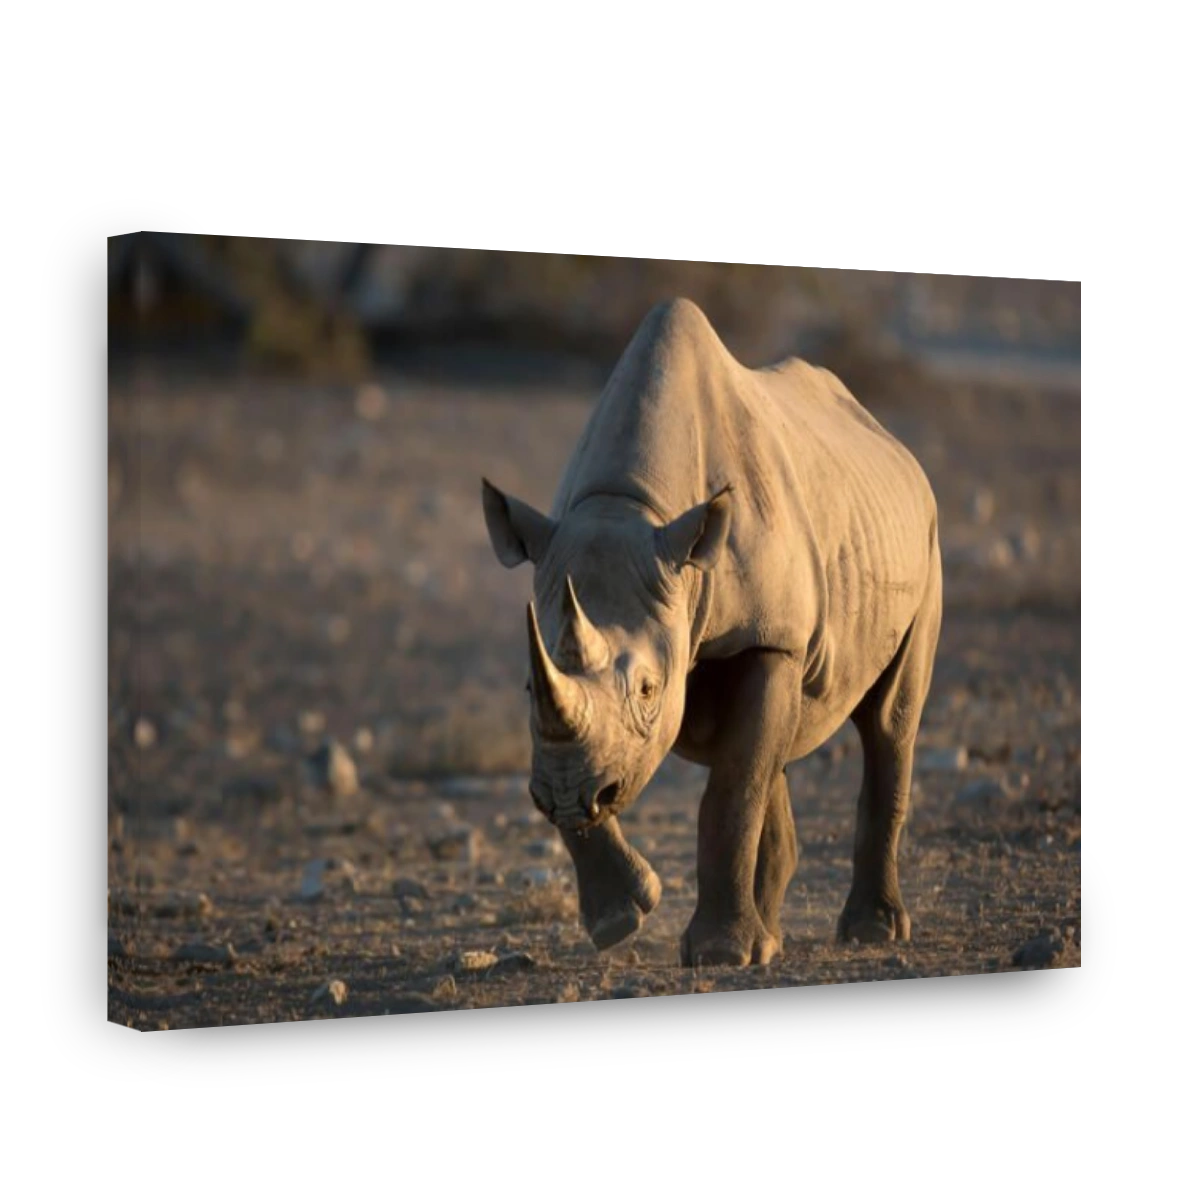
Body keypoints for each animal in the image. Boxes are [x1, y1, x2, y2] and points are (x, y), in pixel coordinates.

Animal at [482, 298, 942, 967]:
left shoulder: (771, 637)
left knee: (887, 724)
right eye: (523, 687)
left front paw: (720, 954)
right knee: (774, 748)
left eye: (649, 689)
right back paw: (770, 939)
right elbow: (619, 762)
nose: (567, 797)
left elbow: (731, 791)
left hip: (927, 539)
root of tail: (889, 439)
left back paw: (871, 931)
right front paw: (620, 920)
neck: (632, 507)